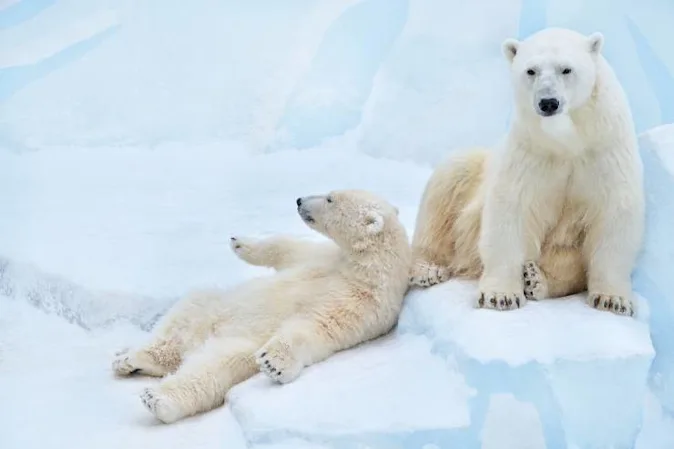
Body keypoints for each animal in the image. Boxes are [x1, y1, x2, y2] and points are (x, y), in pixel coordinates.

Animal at [112, 189, 411, 423]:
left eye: (329, 199)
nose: (299, 200)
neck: (363, 266)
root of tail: (200, 341)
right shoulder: (322, 258)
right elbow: (289, 249)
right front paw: (241, 242)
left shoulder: (363, 301)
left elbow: (315, 326)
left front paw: (273, 362)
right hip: (212, 309)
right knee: (184, 316)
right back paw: (130, 359)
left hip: (236, 348)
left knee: (210, 371)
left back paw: (156, 397)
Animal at [409, 27, 645, 317]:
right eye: (531, 70)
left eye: (566, 69)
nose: (548, 102)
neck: (567, 141)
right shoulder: (531, 151)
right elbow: (512, 207)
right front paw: (500, 296)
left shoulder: (604, 147)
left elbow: (615, 212)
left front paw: (613, 300)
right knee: (447, 184)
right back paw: (427, 269)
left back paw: (536, 279)